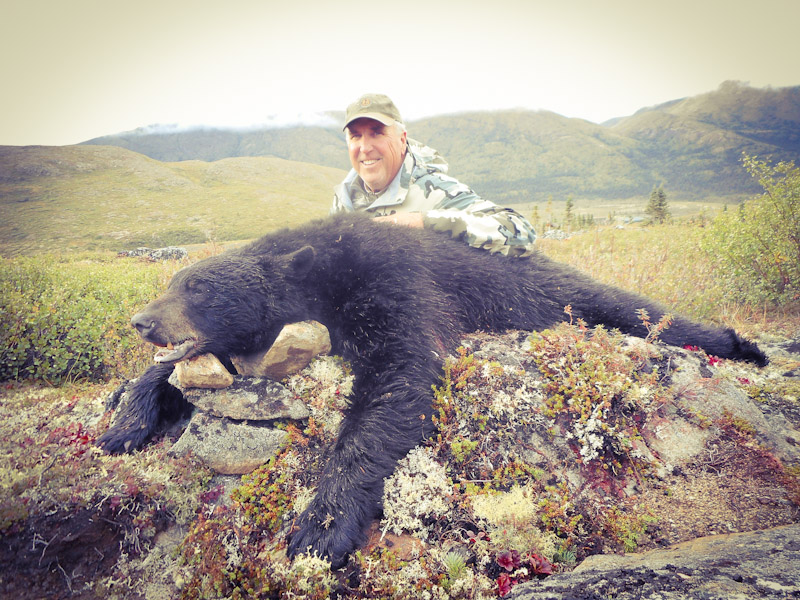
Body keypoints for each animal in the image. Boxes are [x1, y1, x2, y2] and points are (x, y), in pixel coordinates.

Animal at [98, 212, 767, 568]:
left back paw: (741, 345)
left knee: (633, 308)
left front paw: (321, 526)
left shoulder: (393, 279)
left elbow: (404, 371)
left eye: (198, 289)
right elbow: (169, 371)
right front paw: (125, 422)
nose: (140, 320)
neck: (318, 270)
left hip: (564, 293)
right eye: (171, 282)